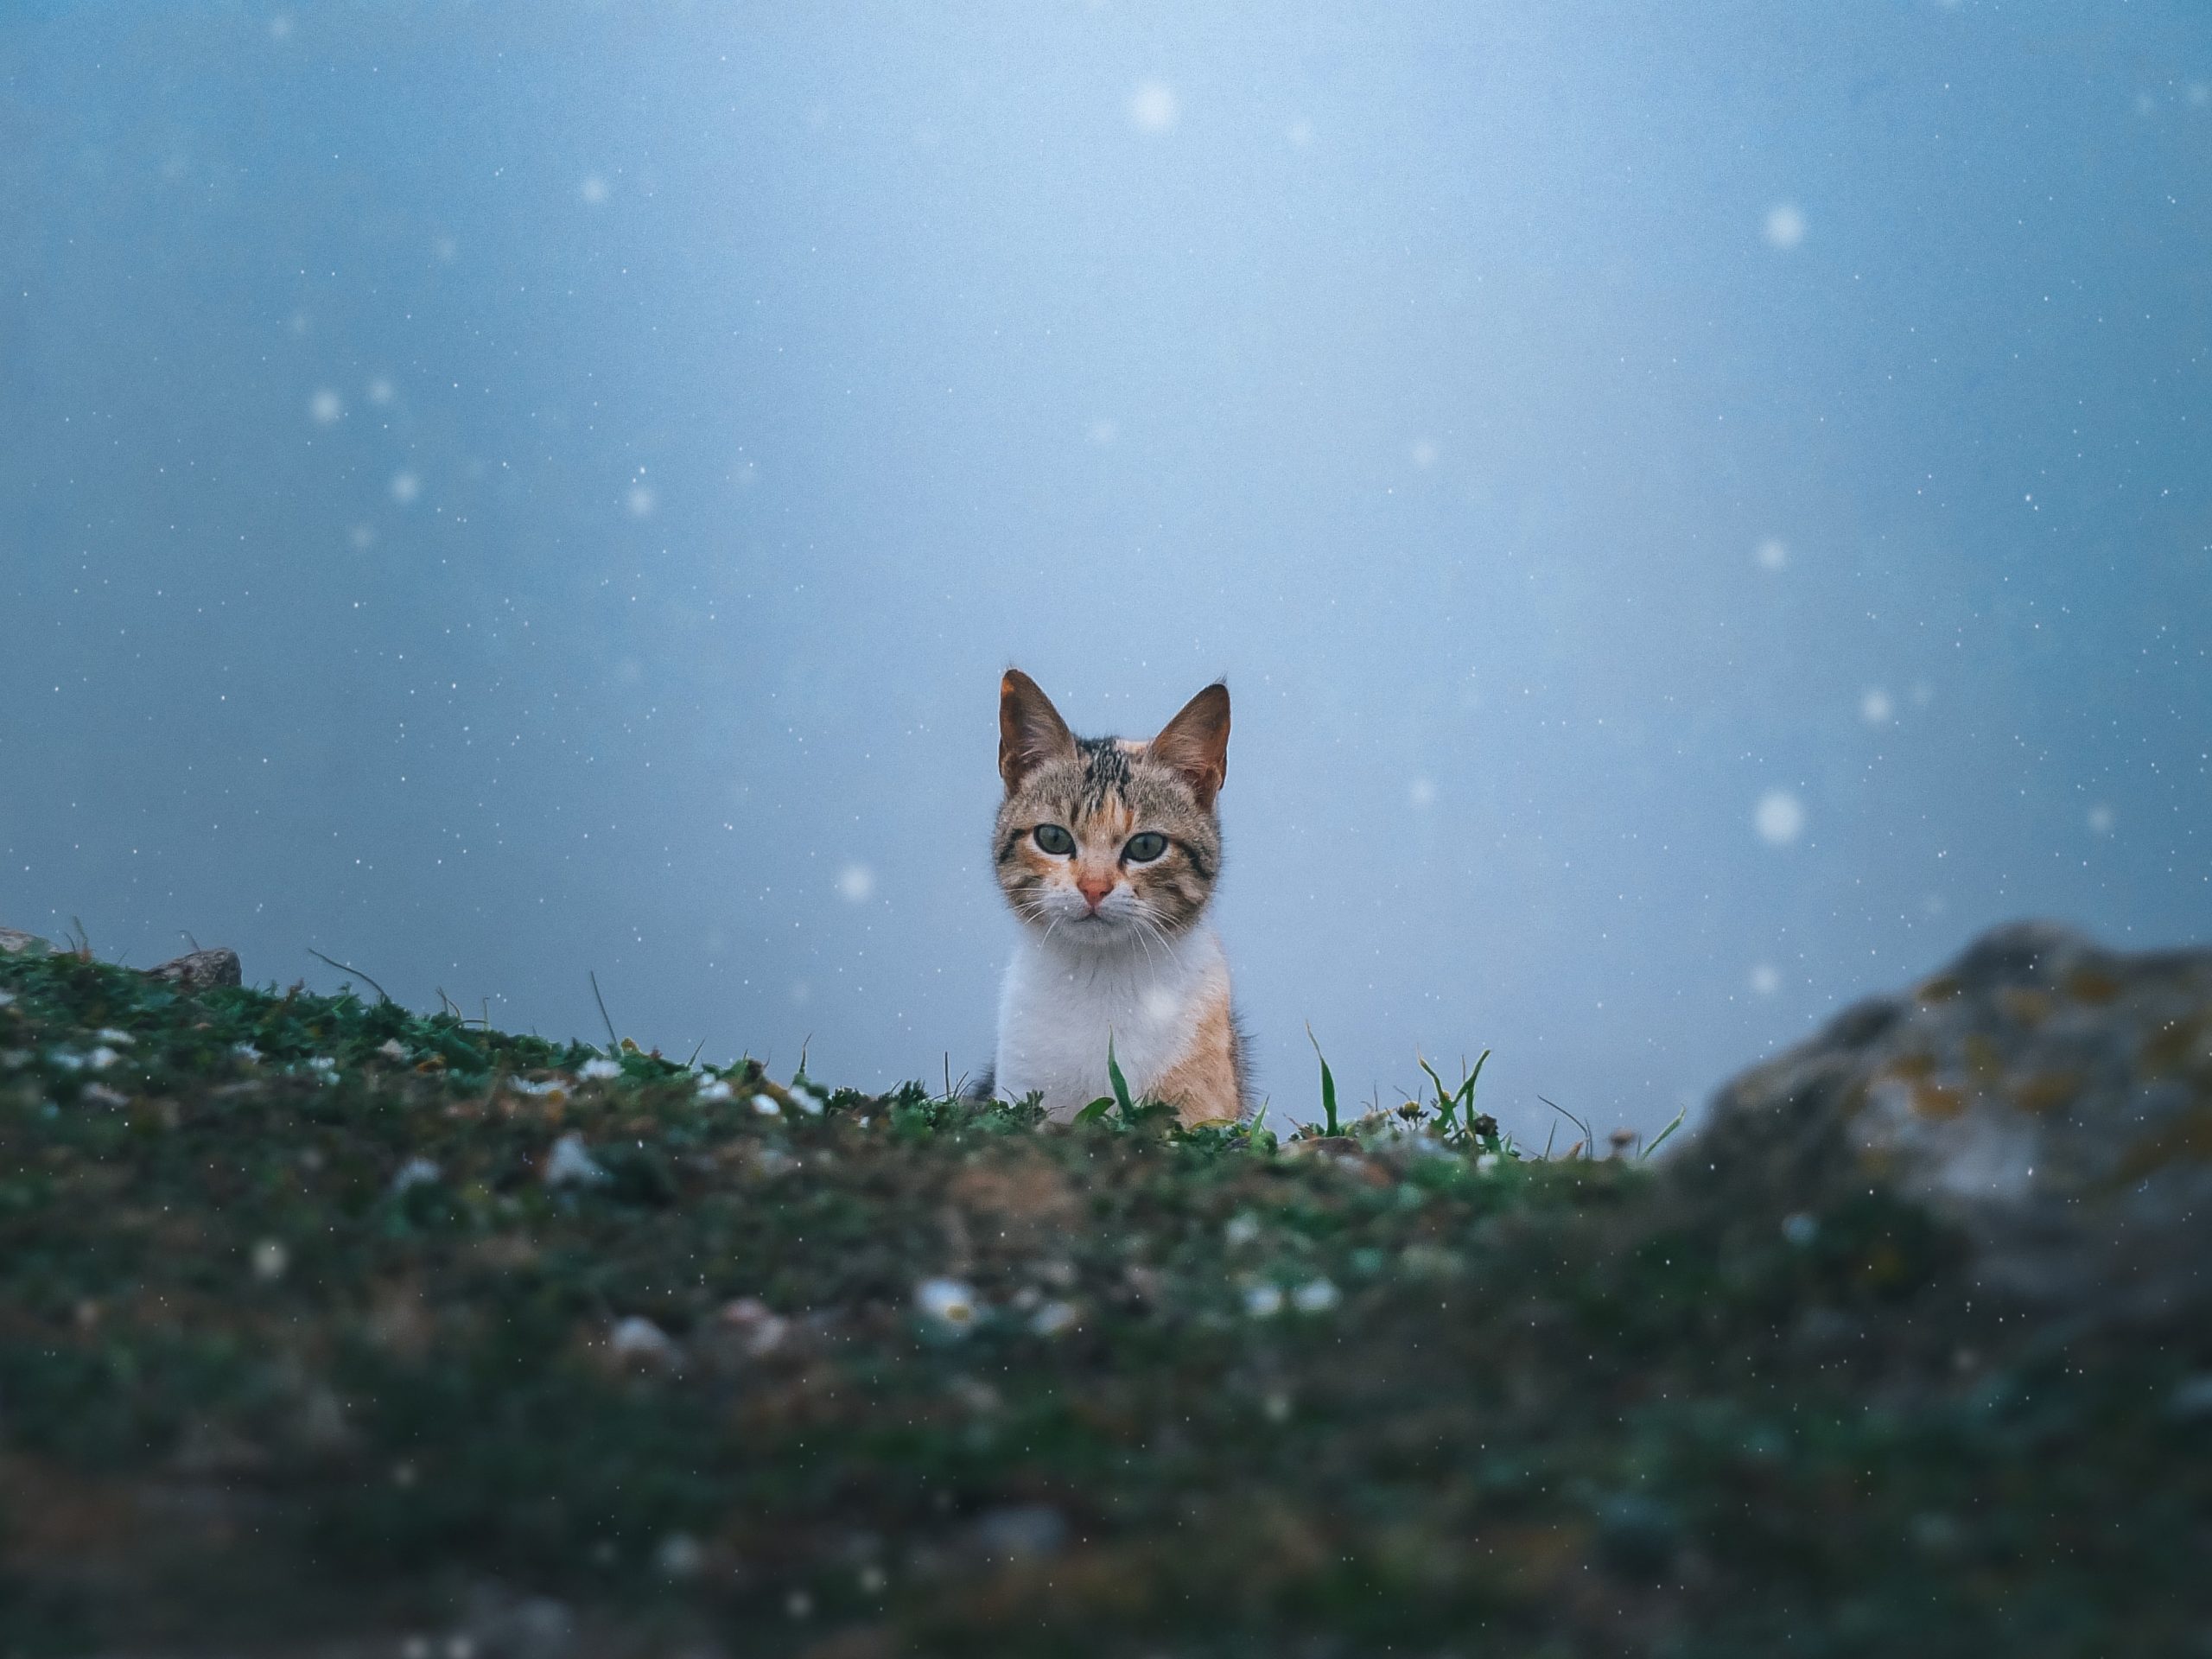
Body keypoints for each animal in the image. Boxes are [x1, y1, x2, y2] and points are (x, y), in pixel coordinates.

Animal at [986, 668, 1247, 1123]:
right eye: (1053, 838)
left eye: (1146, 846)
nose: (1094, 887)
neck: (1099, 974)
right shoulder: (1021, 1084)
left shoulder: (1202, 1102)